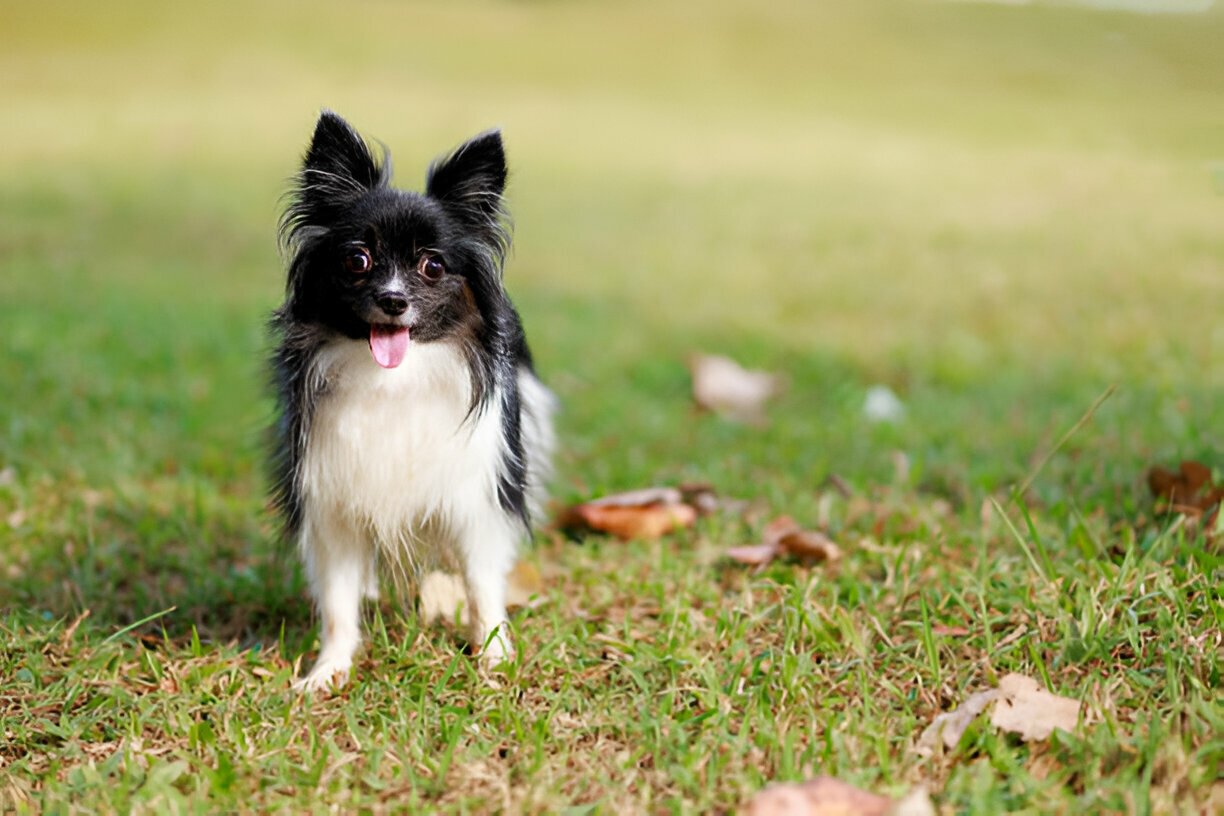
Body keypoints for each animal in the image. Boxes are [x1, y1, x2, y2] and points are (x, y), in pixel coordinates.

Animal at [271, 111, 555, 694]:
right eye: (357, 259)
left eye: (432, 267)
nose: (393, 300)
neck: (394, 380)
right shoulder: (333, 496)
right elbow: (338, 602)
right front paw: (329, 670)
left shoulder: (477, 496)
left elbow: (482, 585)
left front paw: (494, 658)